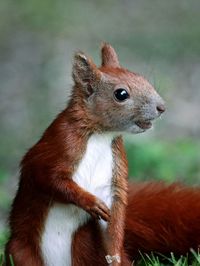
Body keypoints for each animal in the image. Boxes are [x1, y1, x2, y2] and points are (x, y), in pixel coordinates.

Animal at [4, 44, 165, 266]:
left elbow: (114, 219)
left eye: (143, 78)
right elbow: (50, 178)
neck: (101, 135)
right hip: (21, 252)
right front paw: (90, 202)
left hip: (83, 246)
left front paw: (114, 256)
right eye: (121, 94)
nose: (162, 107)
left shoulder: (115, 170)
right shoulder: (61, 144)